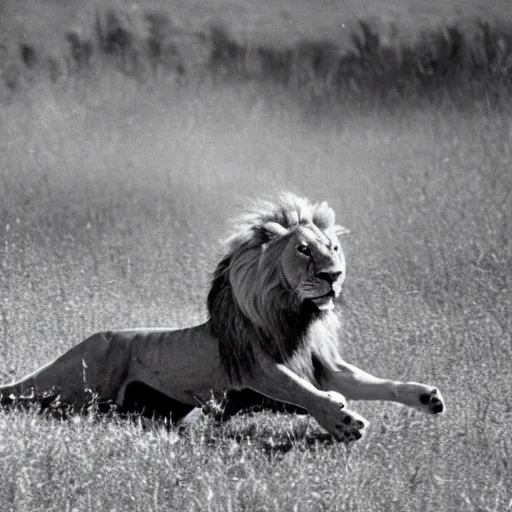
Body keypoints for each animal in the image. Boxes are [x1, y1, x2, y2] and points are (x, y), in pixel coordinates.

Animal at [0, 194, 444, 442]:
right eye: (303, 250)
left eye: (333, 247)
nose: (332, 276)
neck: (294, 315)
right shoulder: (255, 367)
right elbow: (301, 390)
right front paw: (342, 421)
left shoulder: (324, 365)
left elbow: (374, 382)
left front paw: (426, 396)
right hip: (77, 378)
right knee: (28, 399)